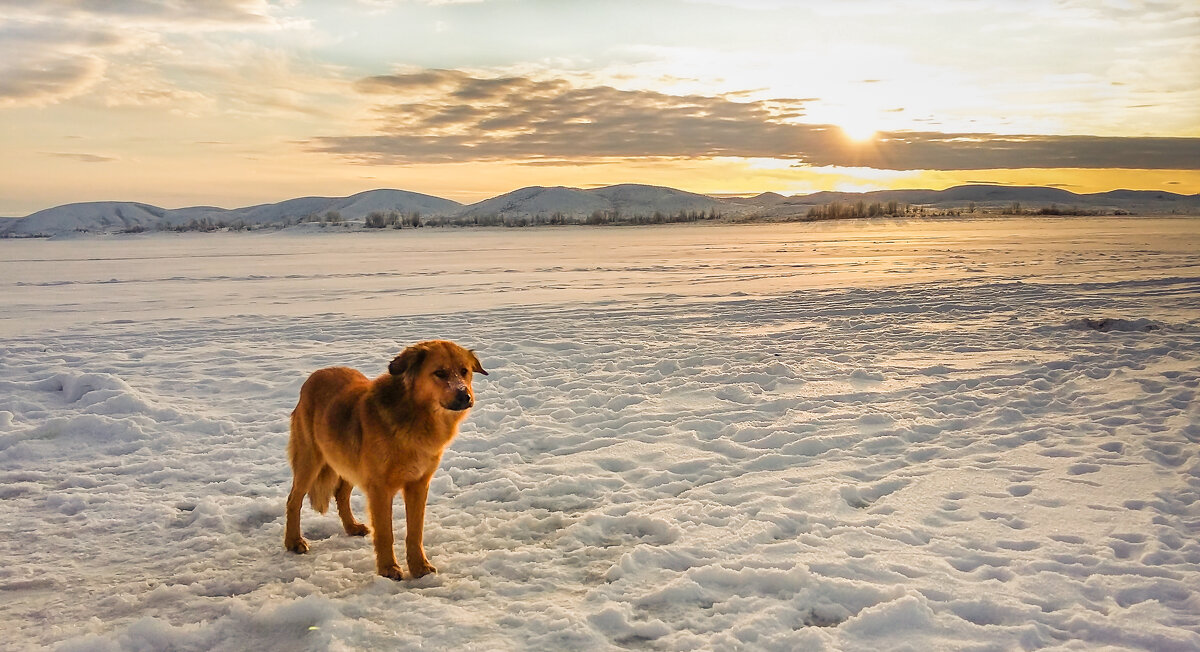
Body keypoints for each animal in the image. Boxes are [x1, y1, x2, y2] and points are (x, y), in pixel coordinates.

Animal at [283, 338, 484, 578]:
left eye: (464, 371)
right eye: (440, 373)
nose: (465, 396)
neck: (416, 418)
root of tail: (315, 375)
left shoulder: (418, 484)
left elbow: (415, 531)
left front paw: (419, 567)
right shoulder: (380, 488)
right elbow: (386, 533)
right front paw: (389, 568)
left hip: (348, 461)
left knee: (341, 494)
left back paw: (351, 527)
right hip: (309, 462)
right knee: (293, 500)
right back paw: (293, 541)